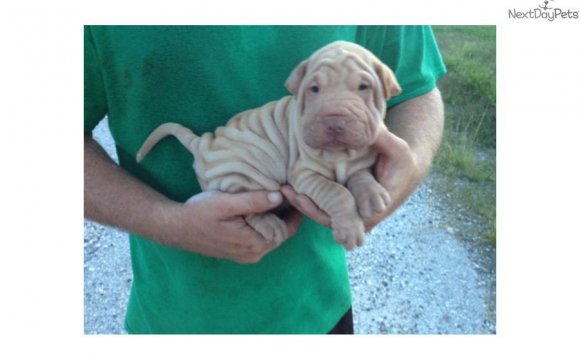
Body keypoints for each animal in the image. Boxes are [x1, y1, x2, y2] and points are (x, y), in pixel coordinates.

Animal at [137, 40, 398, 252]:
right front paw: (349, 229)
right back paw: (270, 224)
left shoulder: (361, 160)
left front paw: (372, 197)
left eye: (364, 87)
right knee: (249, 210)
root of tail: (202, 142)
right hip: (240, 177)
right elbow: (337, 192)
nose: (334, 121)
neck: (341, 155)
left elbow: (361, 177)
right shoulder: (303, 175)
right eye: (314, 89)